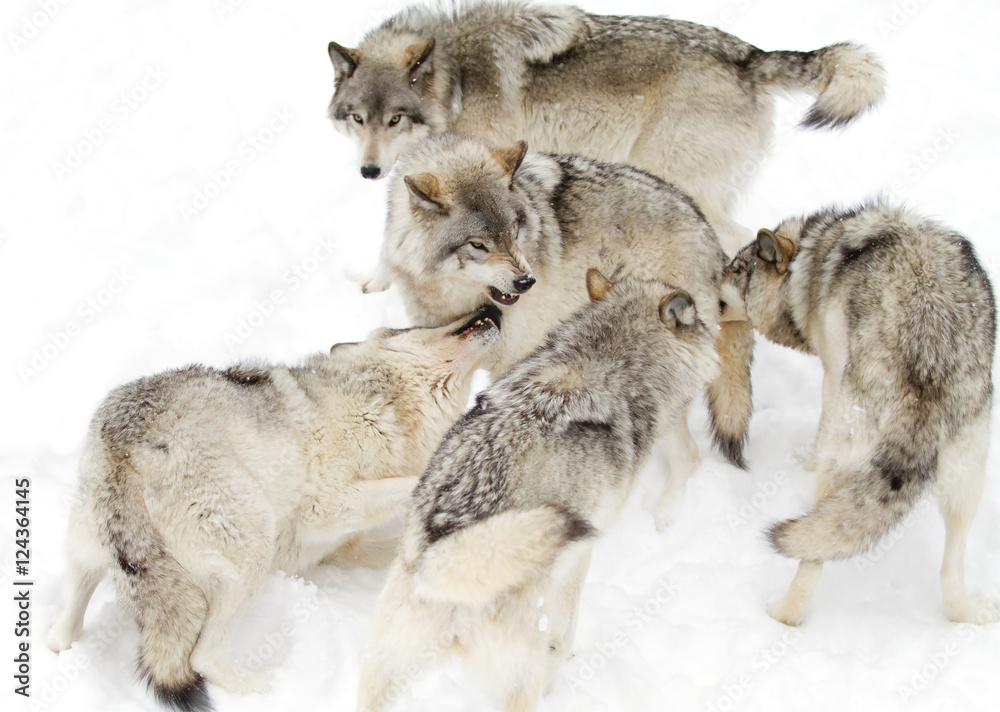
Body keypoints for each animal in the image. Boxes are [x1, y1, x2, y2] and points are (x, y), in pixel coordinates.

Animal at [46, 308, 501, 711]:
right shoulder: (327, 506)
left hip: (91, 554)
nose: (492, 308)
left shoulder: (343, 548)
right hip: (252, 548)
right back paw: (260, 689)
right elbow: (411, 484)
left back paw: (59, 642)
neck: (377, 406)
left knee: (69, 615)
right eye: (412, 327)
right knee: (201, 657)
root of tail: (122, 446)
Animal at [357, 271, 719, 712]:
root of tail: (438, 563)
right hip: (517, 673)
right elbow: (563, 634)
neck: (607, 363)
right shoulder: (579, 558)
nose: (715, 329)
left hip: (383, 669)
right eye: (700, 320)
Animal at [370, 133, 755, 496]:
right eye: (478, 245)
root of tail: (712, 241)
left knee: (688, 456)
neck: (460, 299)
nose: (526, 282)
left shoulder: (514, 364)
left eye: (514, 231)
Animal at [720, 200, 998, 626]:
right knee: (950, 569)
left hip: (849, 456)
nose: (704, 277)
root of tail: (928, 353)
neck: (807, 261)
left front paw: (805, 462)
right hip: (968, 481)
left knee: (813, 555)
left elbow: (819, 435)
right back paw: (968, 613)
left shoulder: (833, 376)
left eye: (735, 269)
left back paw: (784, 614)